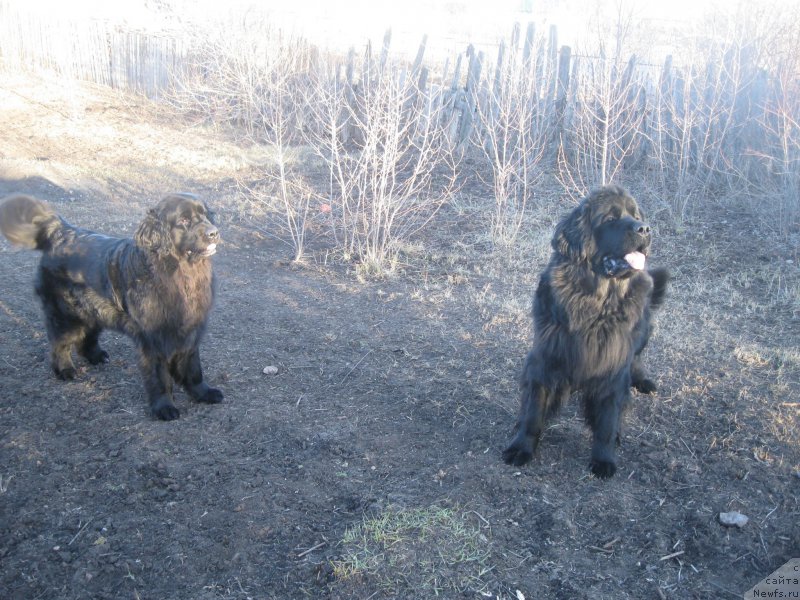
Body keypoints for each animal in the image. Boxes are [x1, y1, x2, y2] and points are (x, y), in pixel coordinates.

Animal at [0, 195, 222, 420]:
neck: (178, 272)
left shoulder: (190, 329)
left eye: (206, 215)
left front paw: (203, 393)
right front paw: (164, 407)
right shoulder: (153, 338)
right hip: (65, 314)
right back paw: (65, 370)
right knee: (60, 343)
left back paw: (96, 356)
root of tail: (60, 231)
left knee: (86, 337)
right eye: (184, 220)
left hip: (94, 309)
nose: (214, 232)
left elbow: (193, 367)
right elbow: (160, 376)